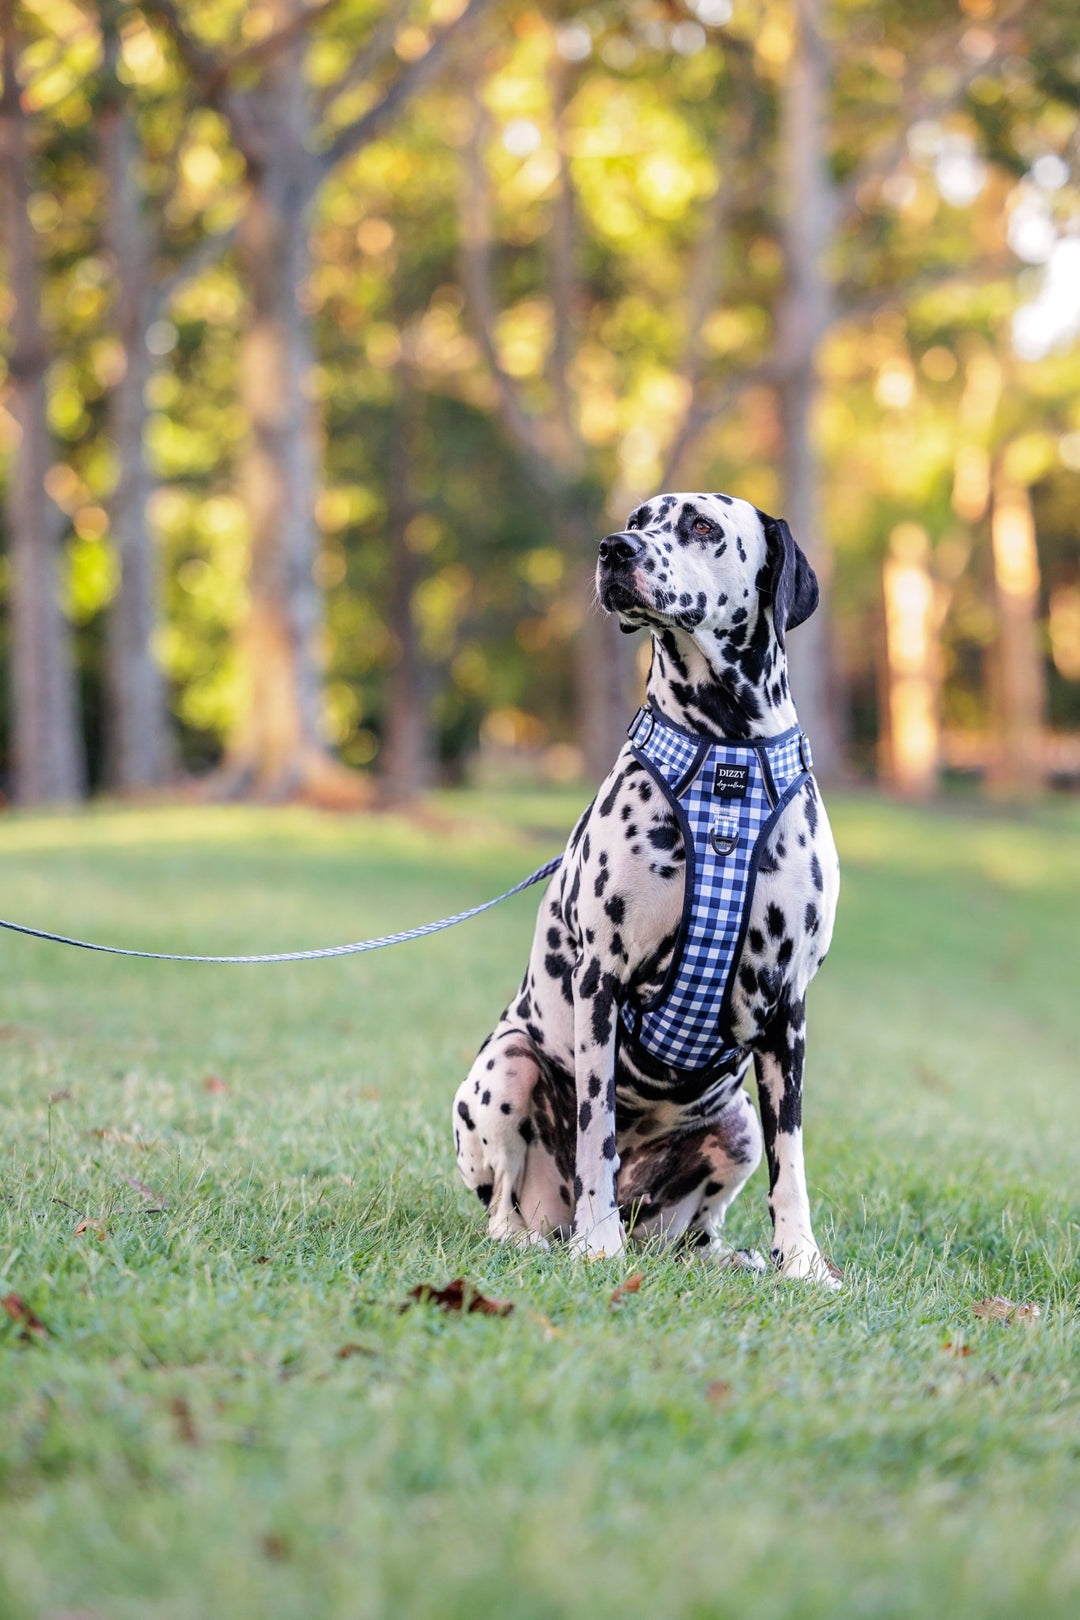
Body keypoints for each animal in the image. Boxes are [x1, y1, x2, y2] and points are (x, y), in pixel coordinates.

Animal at [453, 492, 841, 1289]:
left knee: (699, 1226)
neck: (727, 763)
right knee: (508, 1199)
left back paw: (726, 1256)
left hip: (737, 1123)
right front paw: (596, 1246)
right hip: (505, 1067)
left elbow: (792, 1162)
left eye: (701, 526)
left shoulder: (787, 1009)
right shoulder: (601, 982)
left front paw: (802, 1264)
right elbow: (595, 1130)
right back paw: (542, 1235)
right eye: (638, 517)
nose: (613, 549)